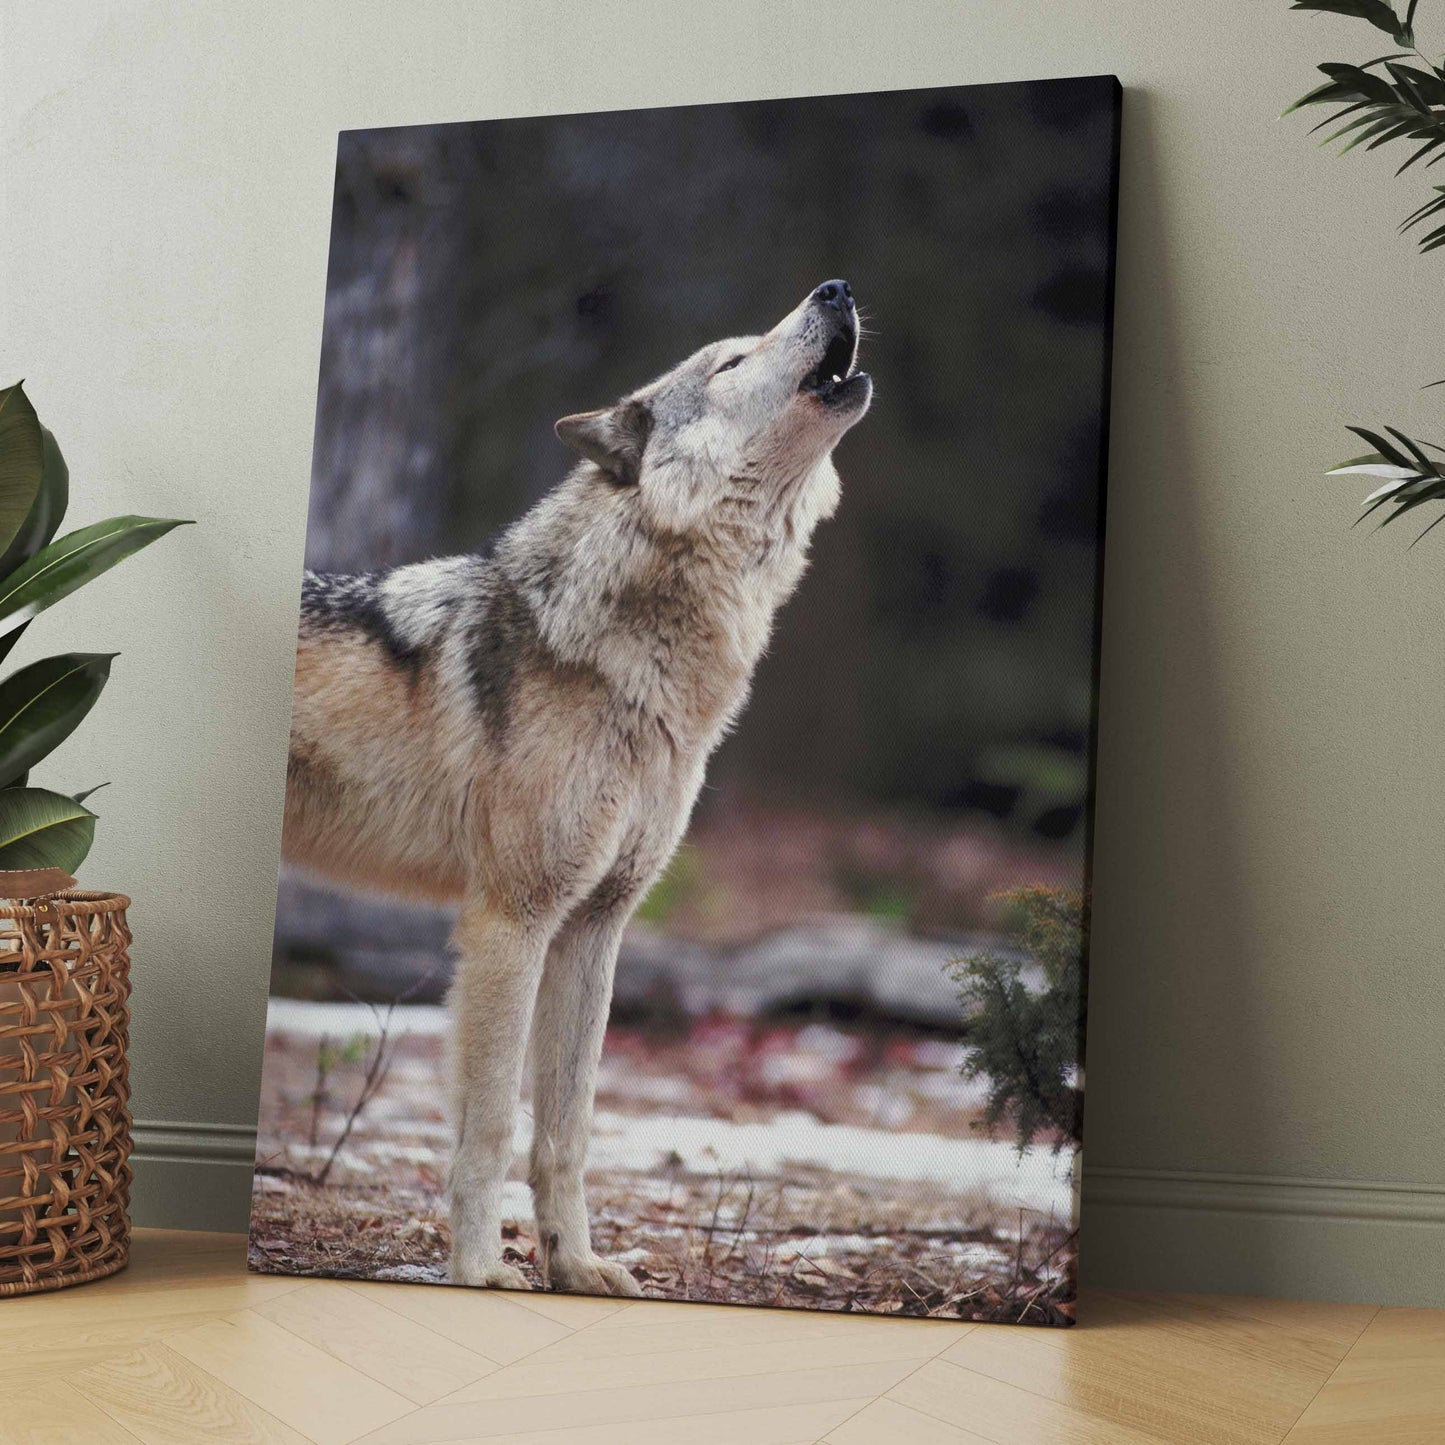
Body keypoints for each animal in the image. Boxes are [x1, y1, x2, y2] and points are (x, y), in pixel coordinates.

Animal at [283, 280, 871, 1295]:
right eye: (731, 359)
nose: (834, 288)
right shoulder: (509, 921)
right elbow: (488, 1126)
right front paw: (481, 1271)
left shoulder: (595, 927)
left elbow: (567, 1128)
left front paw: (577, 1264)